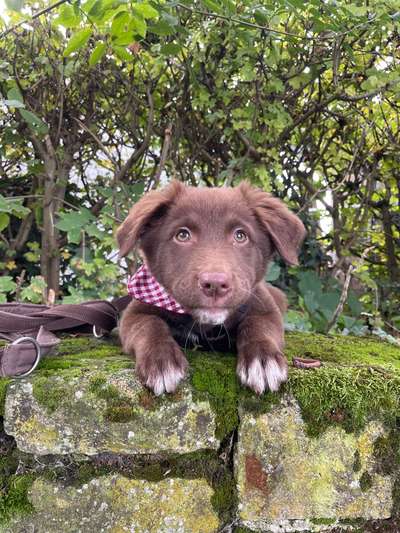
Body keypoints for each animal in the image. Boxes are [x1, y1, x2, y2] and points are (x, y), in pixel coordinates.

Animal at [117, 183, 304, 394]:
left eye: (240, 235)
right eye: (182, 235)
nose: (215, 285)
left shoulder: (265, 307)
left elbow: (259, 324)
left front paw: (263, 360)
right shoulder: (133, 313)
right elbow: (148, 324)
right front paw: (161, 361)